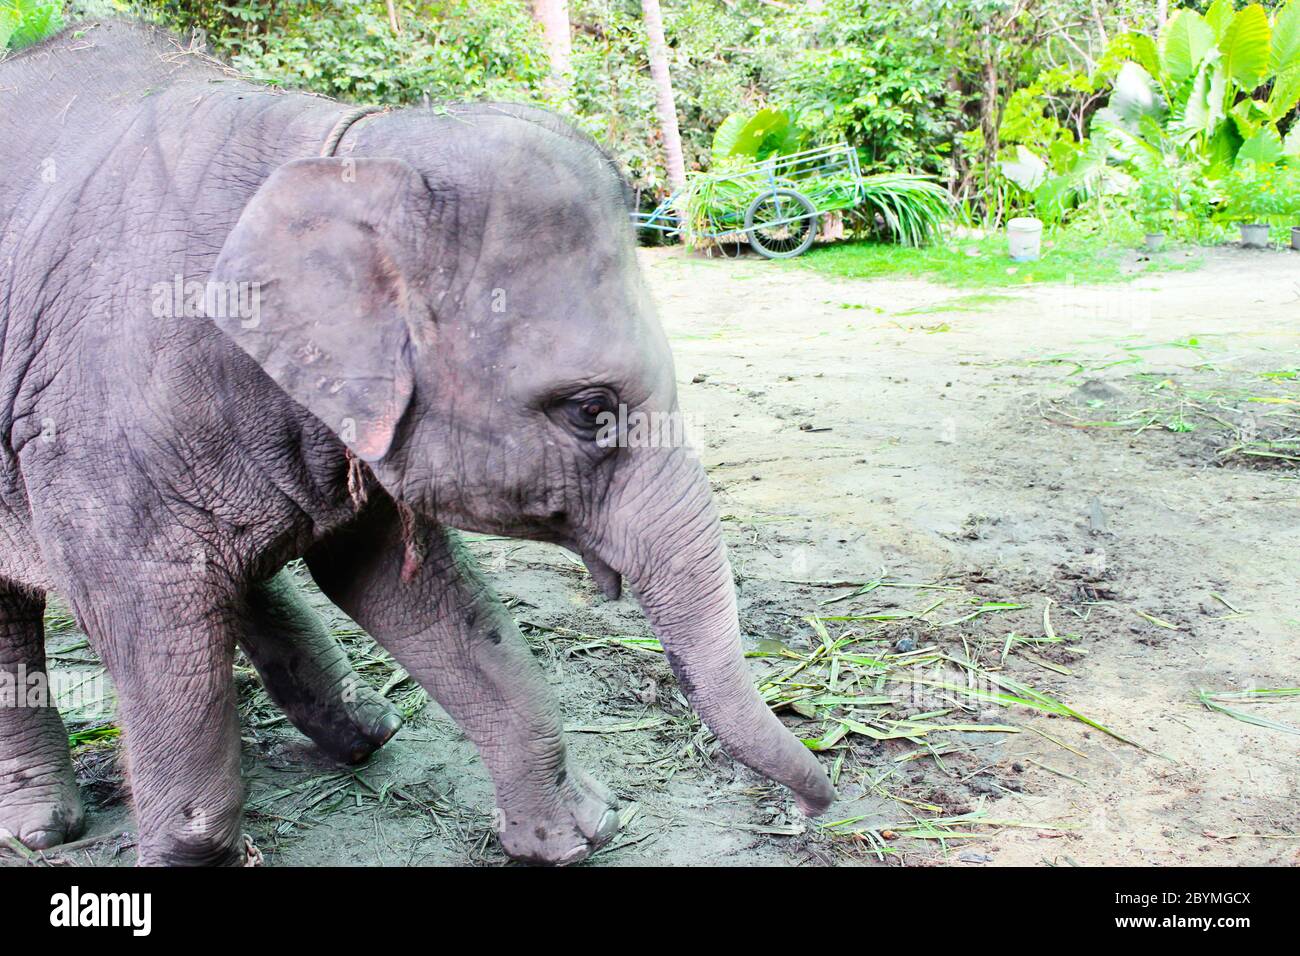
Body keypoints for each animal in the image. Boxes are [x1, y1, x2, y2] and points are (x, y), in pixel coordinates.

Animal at [0, 20, 832, 868]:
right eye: (589, 410)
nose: (813, 807)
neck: (341, 153)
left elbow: (408, 593)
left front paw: (576, 836)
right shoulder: (90, 425)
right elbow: (147, 608)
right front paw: (187, 852)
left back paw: (365, 729)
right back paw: (42, 827)